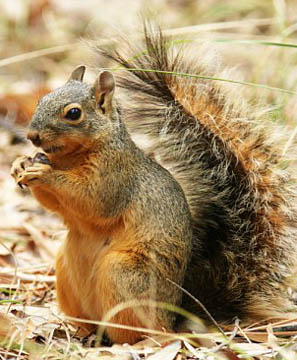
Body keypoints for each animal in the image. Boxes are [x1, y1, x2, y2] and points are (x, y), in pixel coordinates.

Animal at [10, 27, 296, 344]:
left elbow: (94, 200)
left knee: (137, 331)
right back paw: (82, 333)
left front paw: (44, 173)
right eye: (41, 100)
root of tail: (173, 318)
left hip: (123, 274)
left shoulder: (116, 175)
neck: (71, 158)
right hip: (66, 269)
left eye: (73, 113)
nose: (32, 136)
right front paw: (20, 164)